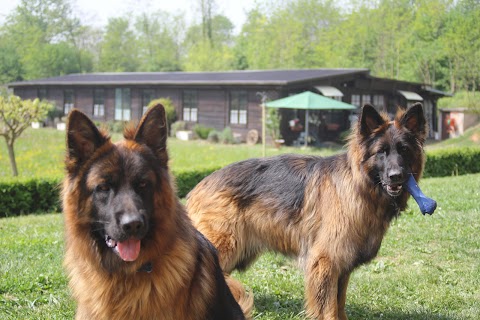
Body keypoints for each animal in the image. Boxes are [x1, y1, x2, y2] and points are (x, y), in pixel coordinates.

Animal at [188, 104, 428, 318]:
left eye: (404, 150)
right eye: (381, 152)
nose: (396, 176)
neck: (359, 186)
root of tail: (200, 185)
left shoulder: (342, 267)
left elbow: (340, 304)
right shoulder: (326, 262)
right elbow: (329, 309)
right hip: (224, 245)